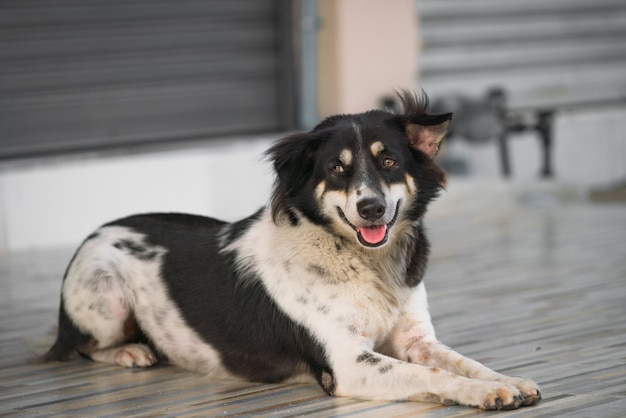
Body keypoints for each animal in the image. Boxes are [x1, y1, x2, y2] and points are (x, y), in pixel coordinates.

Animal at [44, 90, 540, 408]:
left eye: (389, 161)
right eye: (336, 169)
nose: (372, 207)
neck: (364, 263)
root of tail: (99, 229)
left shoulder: (416, 339)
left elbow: (464, 362)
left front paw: (506, 381)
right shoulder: (346, 362)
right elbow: (433, 374)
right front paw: (483, 394)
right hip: (106, 295)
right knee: (80, 346)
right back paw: (130, 351)